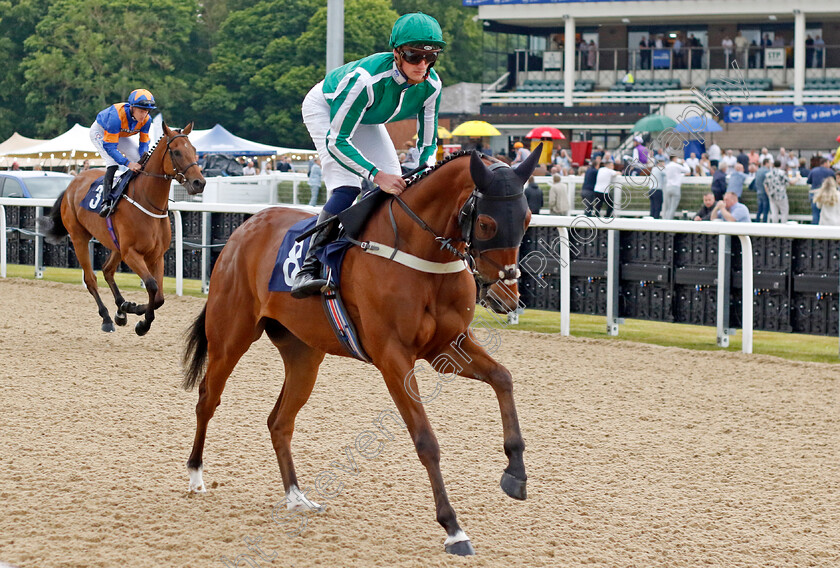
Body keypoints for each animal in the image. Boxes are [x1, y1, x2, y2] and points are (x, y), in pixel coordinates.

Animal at [41, 122, 206, 336]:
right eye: (176, 152)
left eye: (194, 150)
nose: (199, 183)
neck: (147, 201)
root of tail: (73, 182)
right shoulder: (131, 253)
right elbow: (152, 285)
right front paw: (143, 324)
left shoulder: (156, 255)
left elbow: (159, 297)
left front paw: (131, 308)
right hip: (79, 238)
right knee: (91, 278)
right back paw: (107, 318)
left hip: (115, 245)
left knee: (107, 270)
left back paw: (121, 309)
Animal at [181, 146, 540, 556]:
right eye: (485, 223)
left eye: (527, 218)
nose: (507, 295)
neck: (420, 253)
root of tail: (244, 229)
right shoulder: (393, 358)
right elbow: (426, 440)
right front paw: (453, 528)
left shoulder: (448, 348)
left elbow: (503, 378)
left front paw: (515, 474)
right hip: (231, 337)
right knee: (207, 399)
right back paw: (196, 476)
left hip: (304, 354)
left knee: (279, 421)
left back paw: (296, 496)